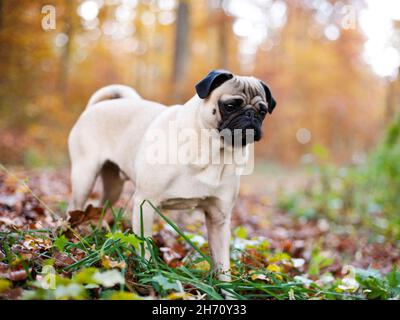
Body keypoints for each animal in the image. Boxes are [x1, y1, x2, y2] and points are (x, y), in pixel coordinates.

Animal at [68, 69, 276, 282]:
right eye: (230, 105)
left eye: (262, 111)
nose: (251, 115)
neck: (214, 153)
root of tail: (95, 107)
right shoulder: (145, 203)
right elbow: (144, 243)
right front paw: (146, 270)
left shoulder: (219, 217)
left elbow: (222, 262)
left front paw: (225, 287)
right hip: (85, 175)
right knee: (75, 205)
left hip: (114, 187)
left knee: (101, 205)